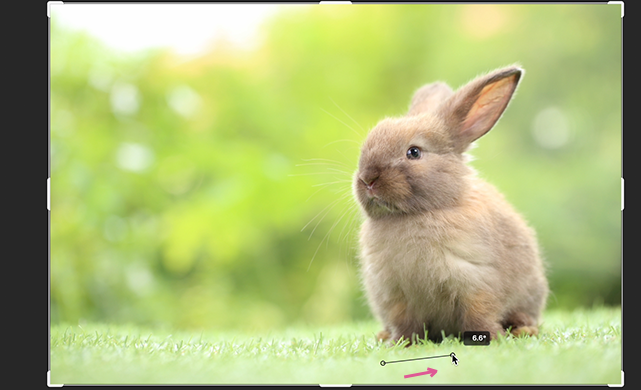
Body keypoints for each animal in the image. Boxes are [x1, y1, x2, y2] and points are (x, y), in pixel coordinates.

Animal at [352, 65, 548, 342]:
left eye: (414, 152)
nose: (368, 179)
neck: (418, 213)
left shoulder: (476, 282)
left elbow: (479, 317)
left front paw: (492, 339)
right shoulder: (395, 296)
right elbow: (404, 325)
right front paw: (400, 345)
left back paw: (524, 331)